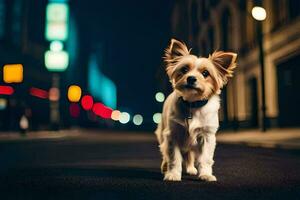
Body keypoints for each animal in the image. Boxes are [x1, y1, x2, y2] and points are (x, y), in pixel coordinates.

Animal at [155, 38, 237, 181]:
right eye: (184, 69)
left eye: (205, 73)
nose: (191, 78)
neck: (192, 104)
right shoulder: (172, 135)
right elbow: (174, 158)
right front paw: (173, 174)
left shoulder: (206, 136)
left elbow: (205, 159)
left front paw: (205, 175)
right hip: (162, 133)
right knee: (165, 152)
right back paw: (165, 167)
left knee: (189, 155)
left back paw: (191, 169)